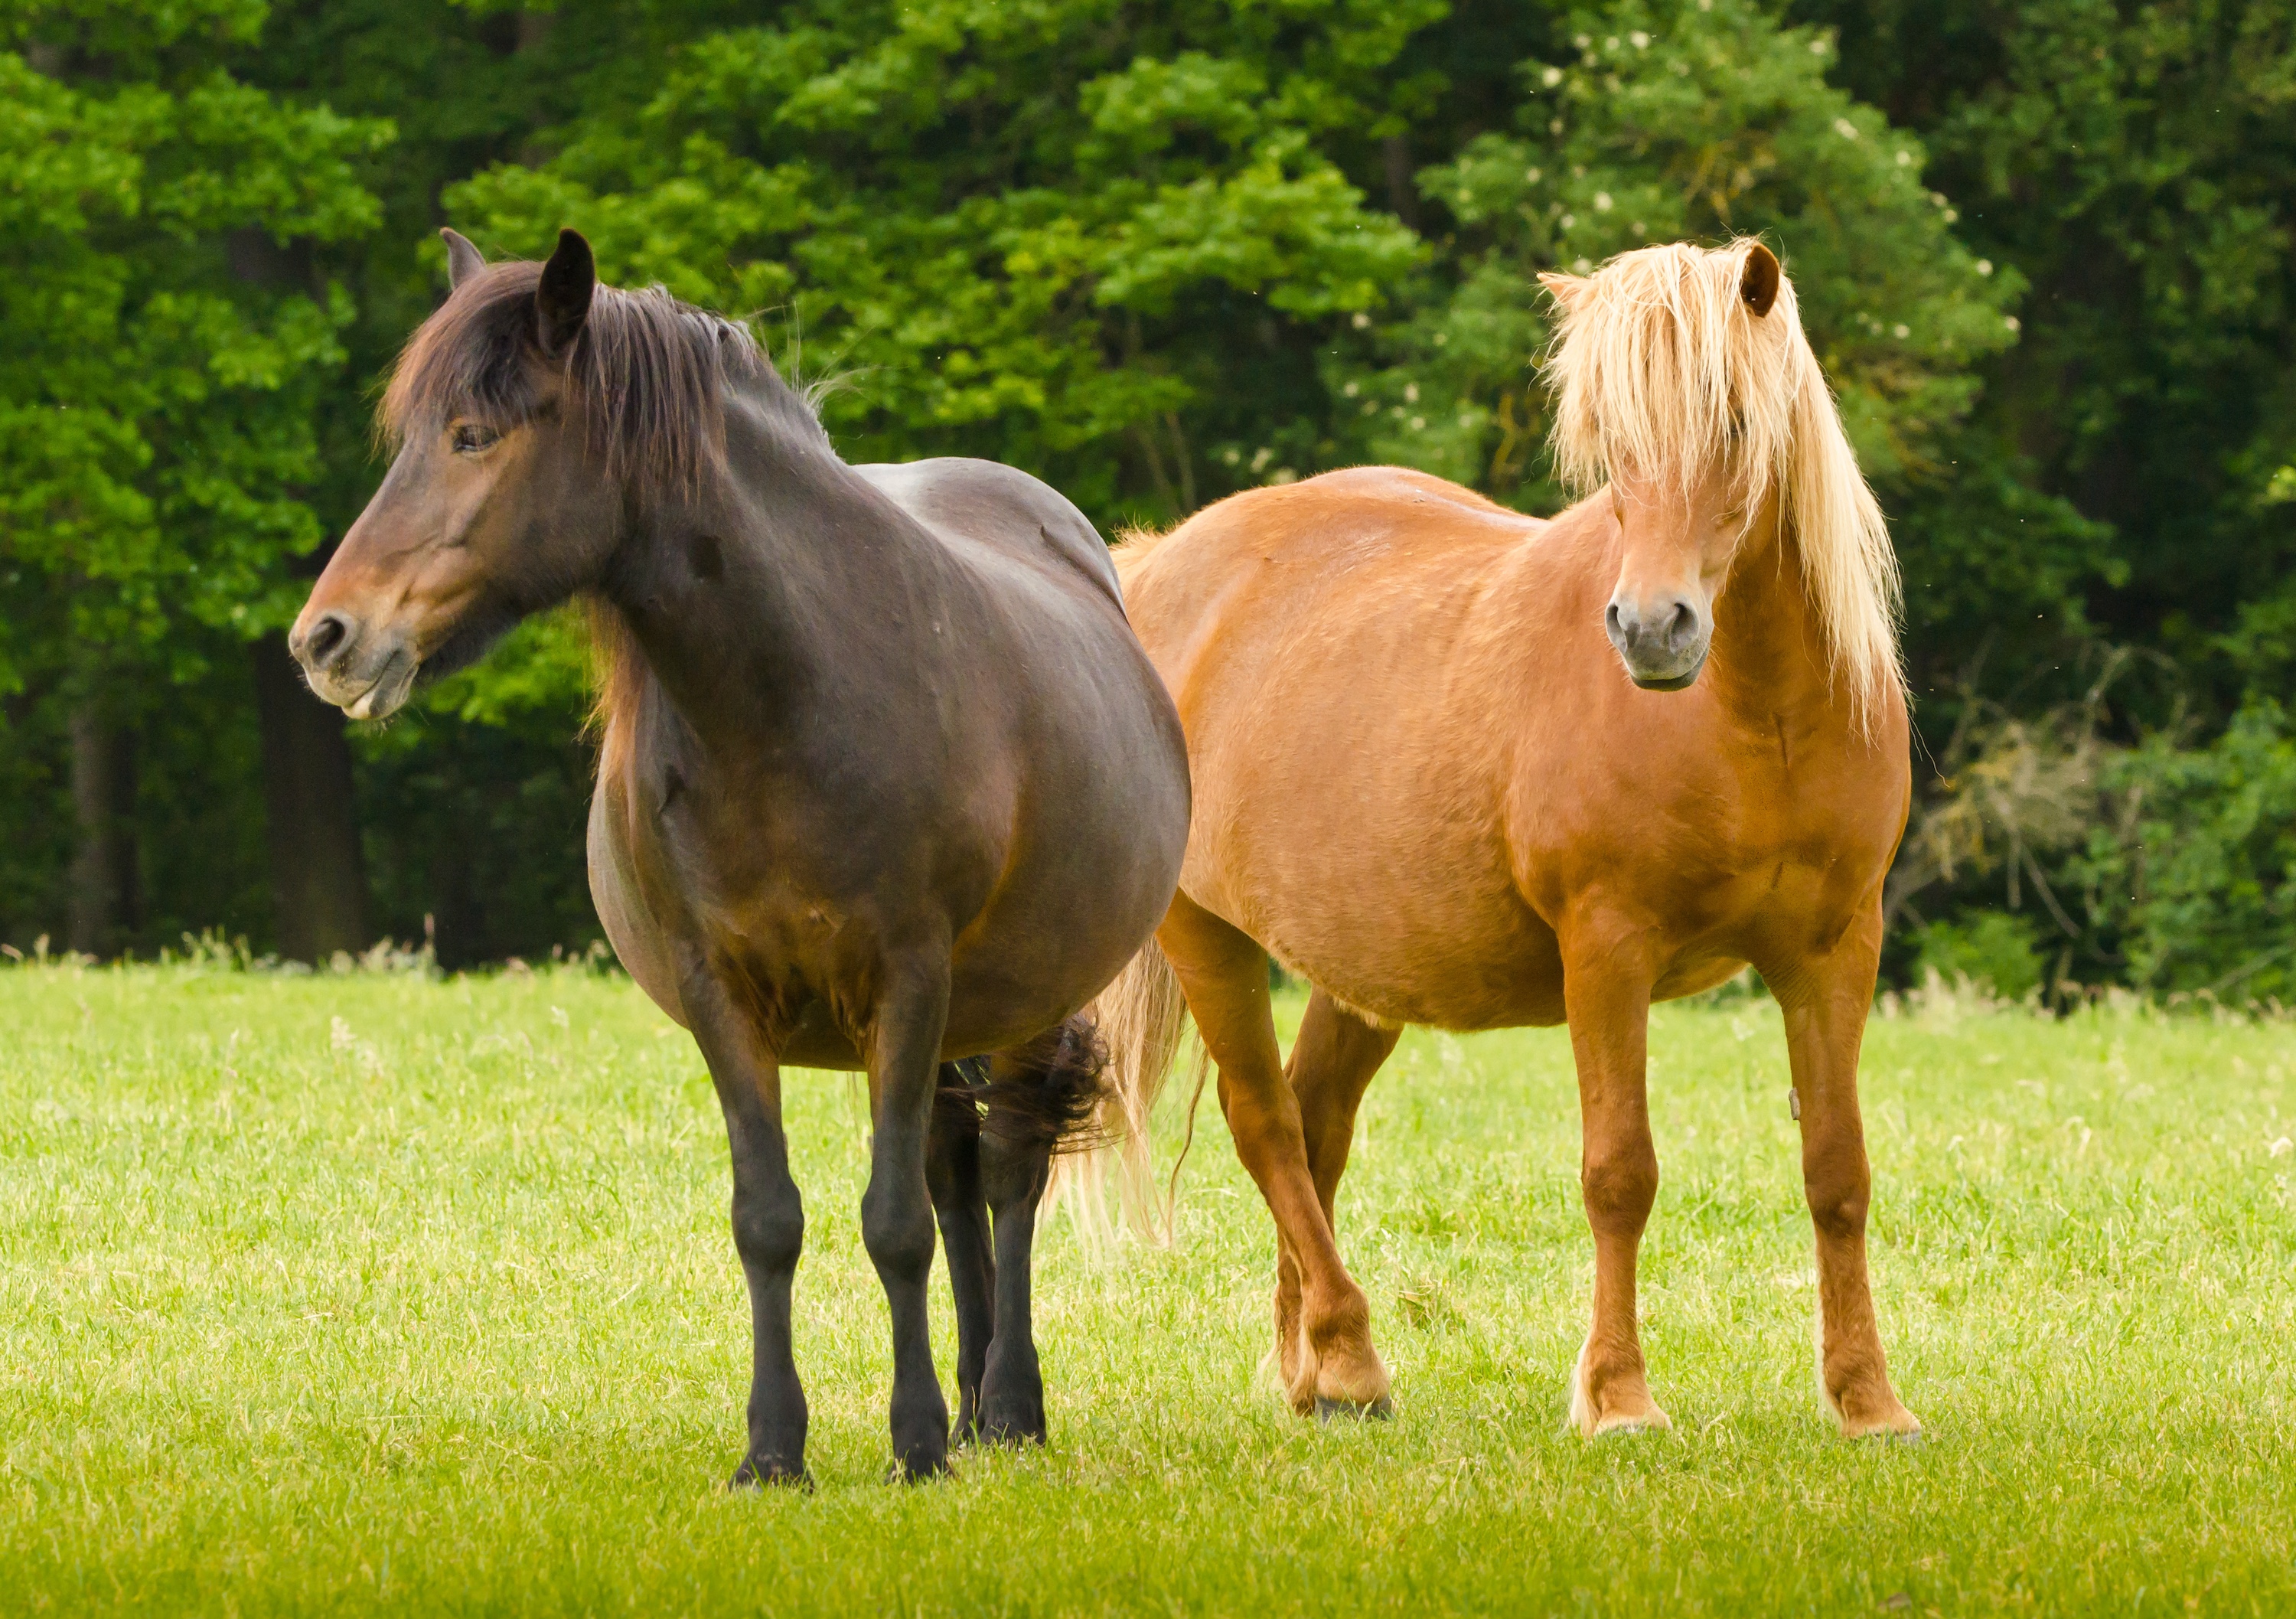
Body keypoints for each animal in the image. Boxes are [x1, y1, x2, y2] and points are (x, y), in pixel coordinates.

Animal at [290, 228, 1191, 1482]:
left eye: (473, 434)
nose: (325, 638)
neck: (789, 697)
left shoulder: (909, 979)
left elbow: (894, 1224)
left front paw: (915, 1444)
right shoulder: (725, 996)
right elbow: (771, 1220)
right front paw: (777, 1451)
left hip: (1017, 996)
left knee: (1006, 1172)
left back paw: (1004, 1405)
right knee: (958, 1175)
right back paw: (974, 1397)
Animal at [1094, 238, 1921, 1439]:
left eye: (1732, 421)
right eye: (1614, 444)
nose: (1652, 628)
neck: (1757, 718)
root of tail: (1160, 567)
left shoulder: (1834, 950)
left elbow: (1837, 1171)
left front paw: (1868, 1399)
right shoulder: (1608, 949)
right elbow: (1619, 1171)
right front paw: (1618, 1397)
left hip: (1361, 968)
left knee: (1317, 1123)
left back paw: (1314, 1369)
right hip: (1206, 937)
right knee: (1268, 1127)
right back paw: (1352, 1355)